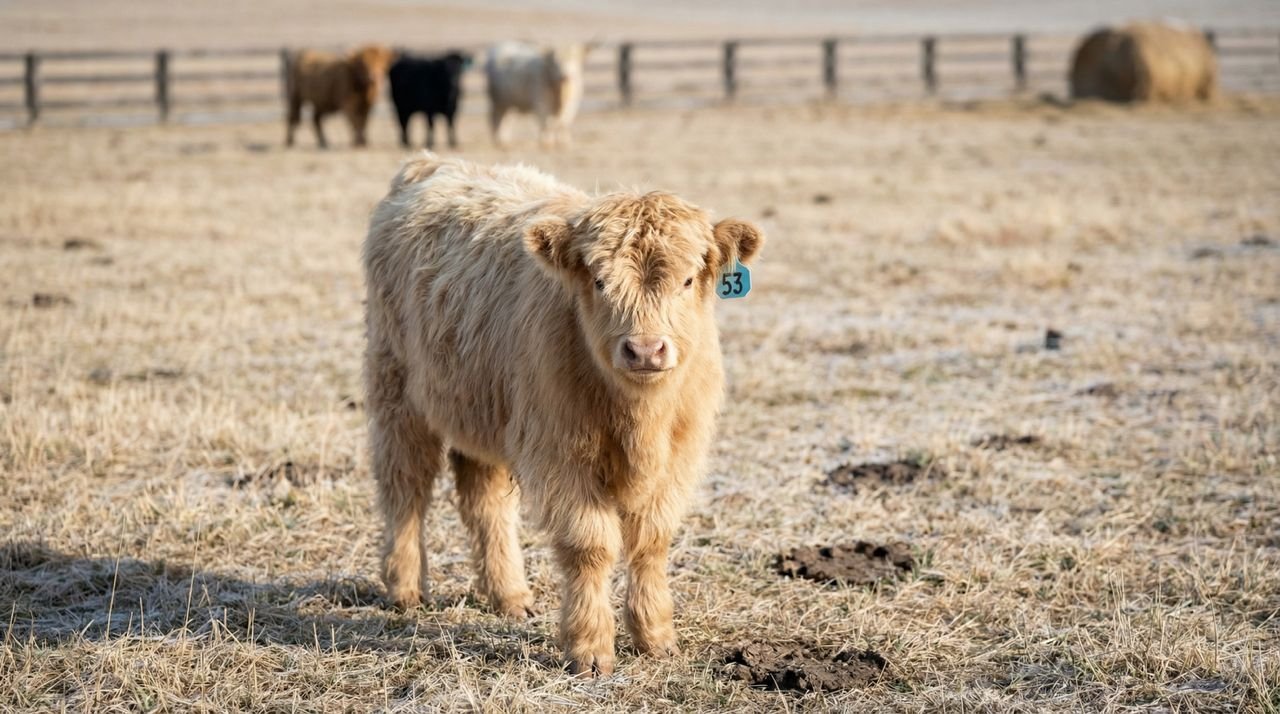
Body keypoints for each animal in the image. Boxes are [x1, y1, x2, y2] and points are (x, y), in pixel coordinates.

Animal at [363, 153, 764, 677]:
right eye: (599, 280)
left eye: (688, 279)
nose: (645, 350)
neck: (640, 420)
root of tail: (433, 163)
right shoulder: (560, 455)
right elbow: (589, 546)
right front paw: (590, 649)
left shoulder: (680, 456)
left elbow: (652, 540)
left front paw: (656, 638)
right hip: (397, 393)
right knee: (405, 485)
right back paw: (406, 589)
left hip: (482, 408)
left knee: (484, 500)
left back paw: (509, 595)